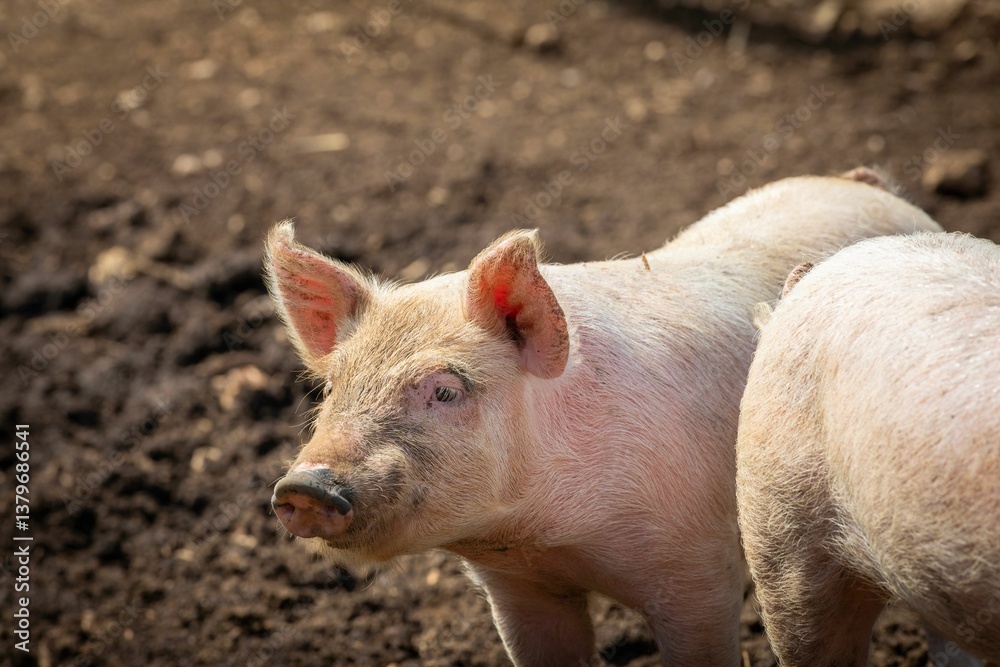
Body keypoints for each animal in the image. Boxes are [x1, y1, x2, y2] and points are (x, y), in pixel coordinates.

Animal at [266, 169, 941, 666]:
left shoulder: (700, 568)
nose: (305, 486)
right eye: (331, 386)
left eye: (445, 391)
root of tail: (865, 183)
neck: (551, 533)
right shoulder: (517, 587)